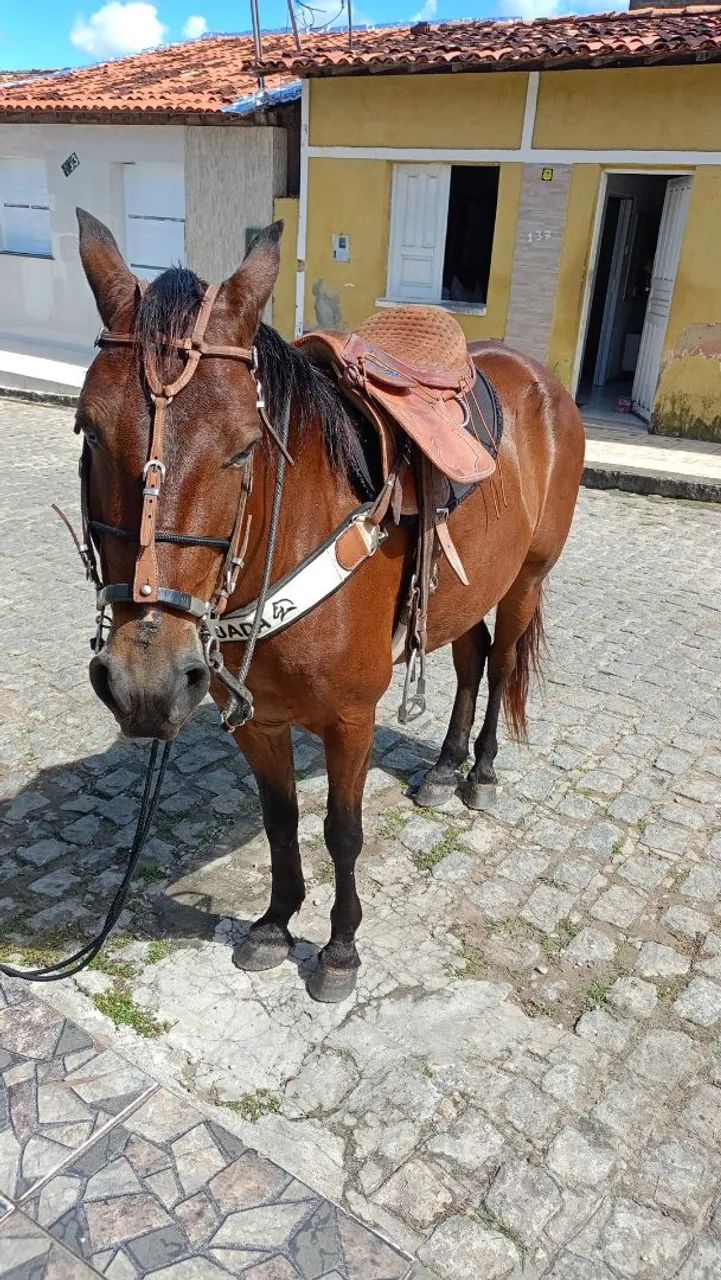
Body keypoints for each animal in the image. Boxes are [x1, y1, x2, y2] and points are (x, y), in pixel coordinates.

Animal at [73, 209, 585, 1003]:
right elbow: (281, 819)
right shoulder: (255, 719)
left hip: (525, 580)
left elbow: (342, 833)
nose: (145, 684)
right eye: (88, 430)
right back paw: (444, 769)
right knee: (470, 662)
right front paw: (275, 923)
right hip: (468, 588)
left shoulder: (350, 719)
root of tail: (537, 376)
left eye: (243, 446)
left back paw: (480, 775)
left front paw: (340, 949)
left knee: (499, 669)